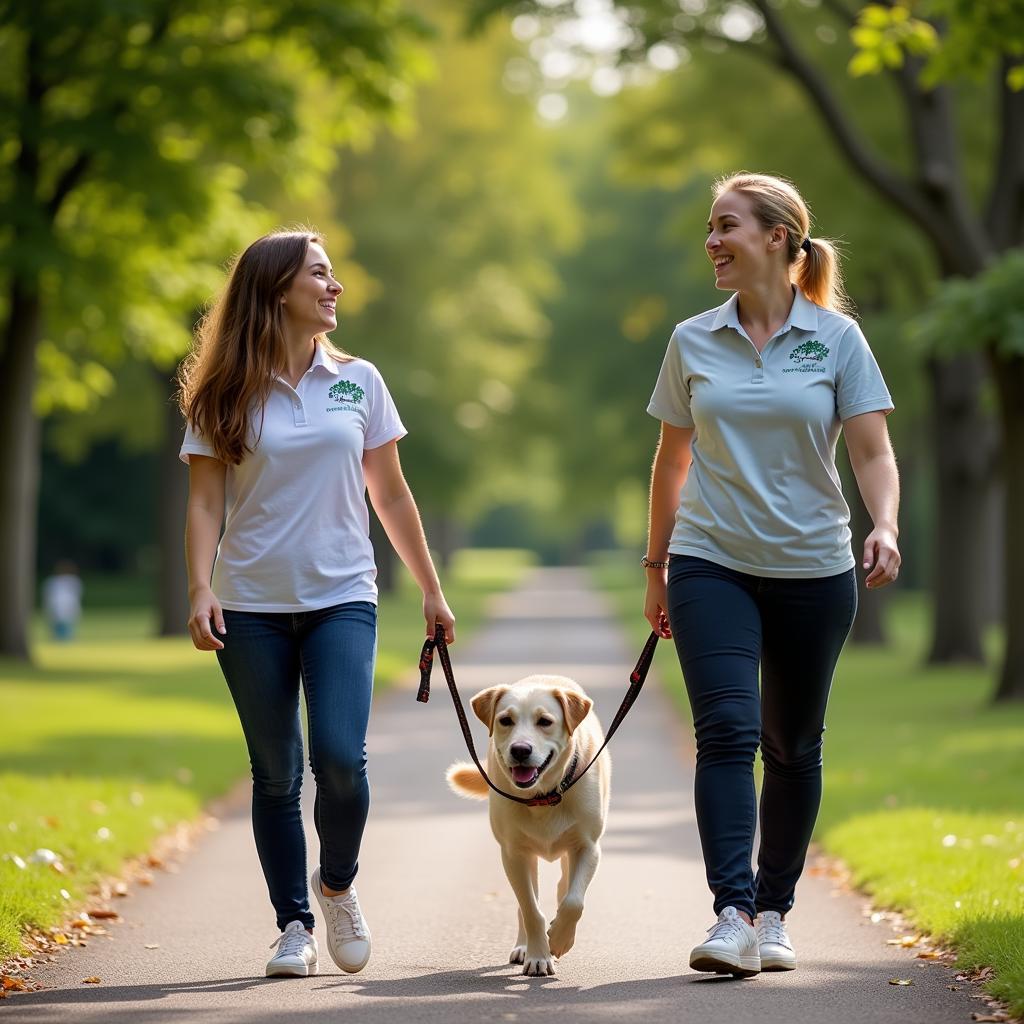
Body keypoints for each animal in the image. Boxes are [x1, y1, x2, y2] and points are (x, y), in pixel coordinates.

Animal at [446, 675, 606, 978]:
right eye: (505, 720)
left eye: (545, 721)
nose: (520, 750)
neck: (543, 797)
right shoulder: (513, 854)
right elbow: (531, 910)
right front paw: (539, 956)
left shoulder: (588, 847)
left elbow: (573, 901)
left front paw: (560, 938)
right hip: (524, 857)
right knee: (526, 903)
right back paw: (526, 946)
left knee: (564, 886)